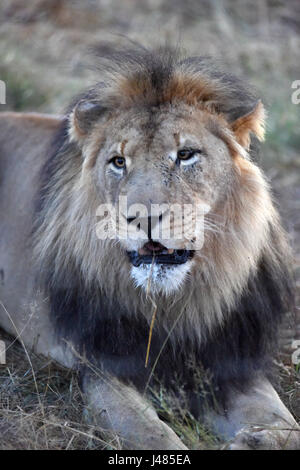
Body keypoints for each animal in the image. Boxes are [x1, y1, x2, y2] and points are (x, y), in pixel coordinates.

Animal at [0, 46, 298, 450]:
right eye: (118, 162)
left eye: (186, 154)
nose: (143, 218)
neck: (174, 305)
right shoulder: (105, 369)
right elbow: (154, 435)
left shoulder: (232, 364)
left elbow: (287, 426)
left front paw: (256, 440)